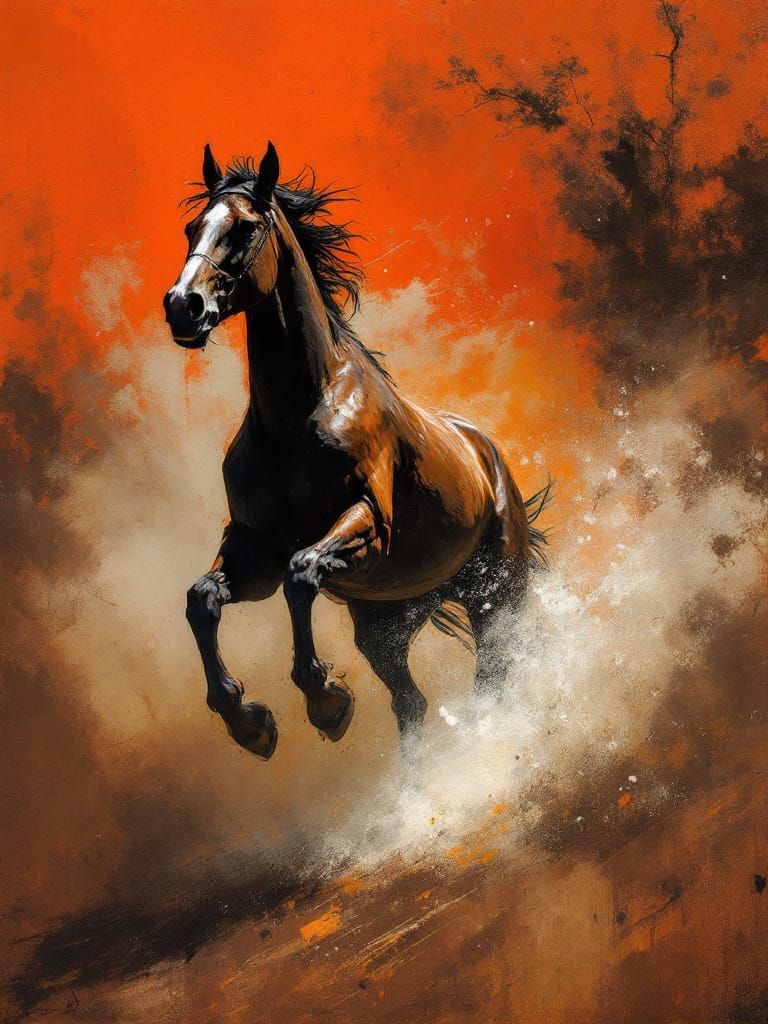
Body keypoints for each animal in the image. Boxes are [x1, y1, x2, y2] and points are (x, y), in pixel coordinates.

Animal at [163, 142, 549, 761]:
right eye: (191, 227)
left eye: (245, 228)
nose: (184, 306)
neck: (296, 417)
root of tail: (491, 460)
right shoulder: (253, 550)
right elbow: (202, 598)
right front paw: (250, 723)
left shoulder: (368, 526)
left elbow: (301, 574)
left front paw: (327, 702)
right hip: (386, 622)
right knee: (410, 702)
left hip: (497, 595)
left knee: (495, 673)